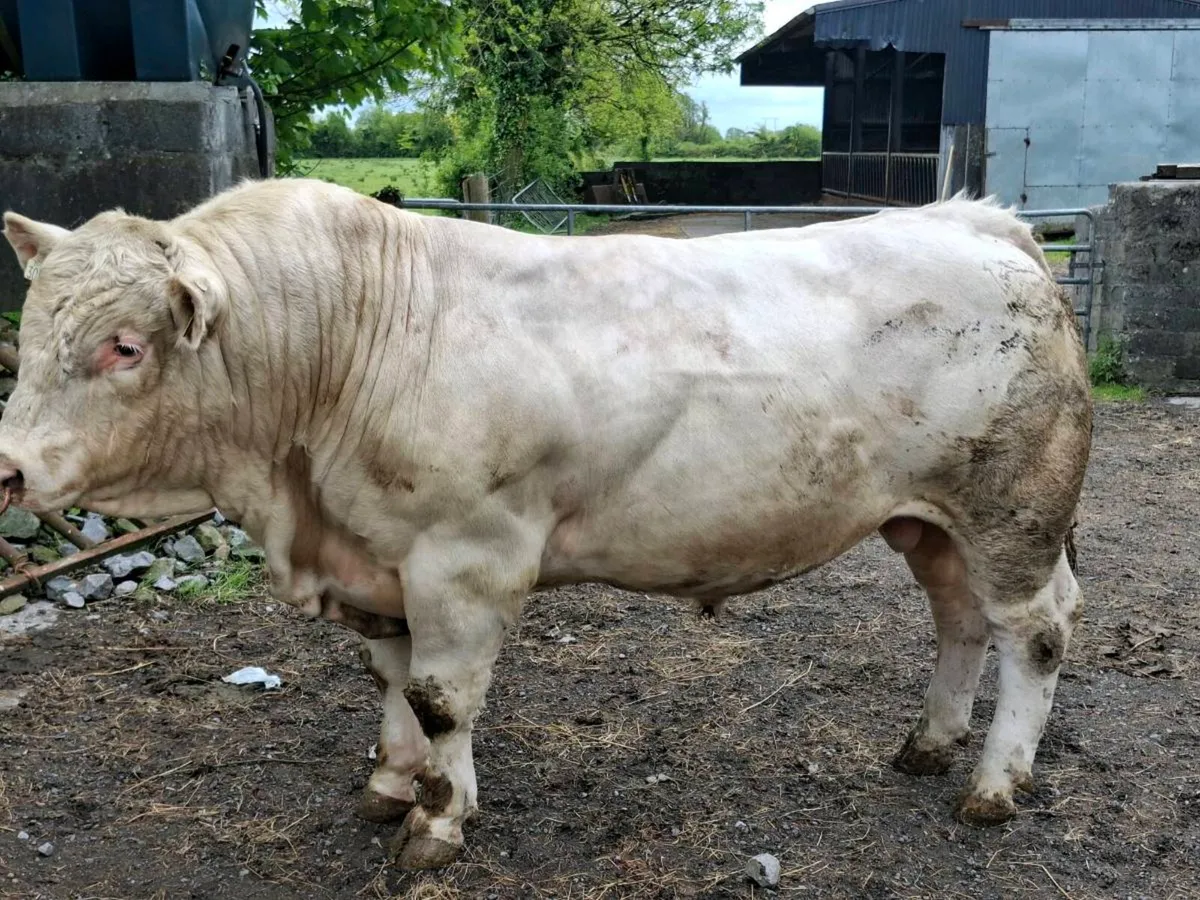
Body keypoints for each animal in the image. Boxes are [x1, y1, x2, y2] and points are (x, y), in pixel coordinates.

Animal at [0, 179, 1091, 870]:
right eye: (32, 331)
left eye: (125, 345)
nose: (8, 467)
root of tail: (982, 224)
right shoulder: (381, 560)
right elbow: (391, 682)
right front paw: (391, 782)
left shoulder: (464, 559)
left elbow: (442, 699)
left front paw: (436, 827)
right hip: (931, 520)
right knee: (958, 619)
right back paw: (930, 742)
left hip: (1015, 509)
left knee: (1035, 634)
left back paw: (994, 785)